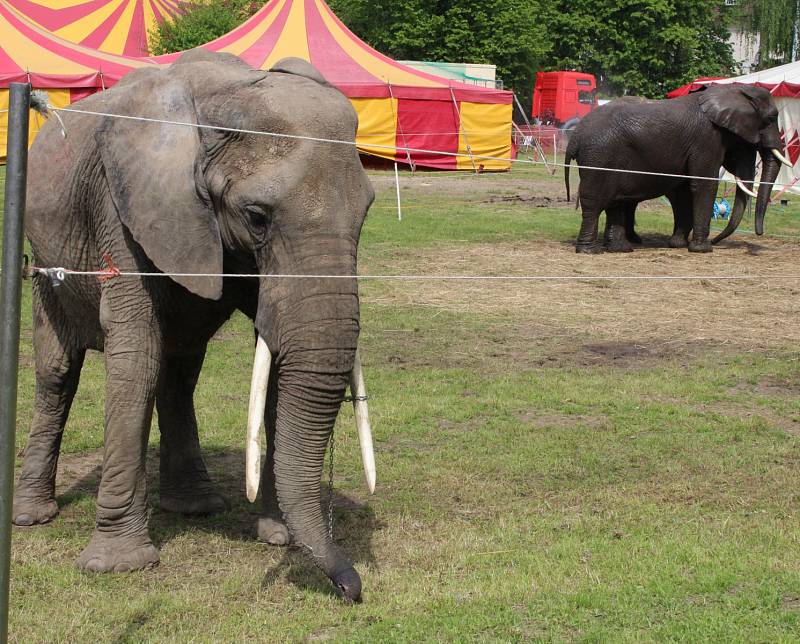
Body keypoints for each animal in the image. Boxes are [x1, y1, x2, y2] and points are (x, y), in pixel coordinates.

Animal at [11, 51, 376, 604]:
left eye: (367, 211)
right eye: (256, 216)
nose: (351, 587)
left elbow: (273, 355)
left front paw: (279, 536)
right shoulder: (122, 208)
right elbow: (136, 356)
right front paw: (118, 566)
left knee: (179, 369)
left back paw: (195, 507)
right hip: (45, 262)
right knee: (58, 374)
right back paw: (31, 515)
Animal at [564, 85, 792, 254]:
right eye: (771, 118)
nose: (716, 241)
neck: (732, 90)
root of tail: (575, 137)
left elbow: (683, 191)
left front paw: (679, 245)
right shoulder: (707, 139)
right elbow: (704, 185)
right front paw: (702, 249)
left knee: (616, 202)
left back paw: (621, 249)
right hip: (598, 157)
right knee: (594, 202)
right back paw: (589, 251)